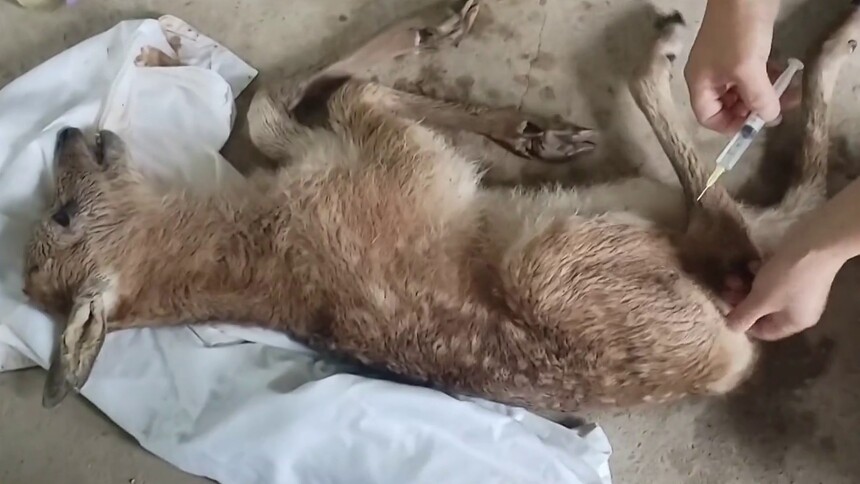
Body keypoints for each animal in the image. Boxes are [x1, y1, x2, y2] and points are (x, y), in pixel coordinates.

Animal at [20, 1, 860, 417]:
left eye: (56, 214)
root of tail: (726, 359)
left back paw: (813, 52)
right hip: (563, 261)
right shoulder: (403, 161)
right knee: (732, 219)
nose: (64, 132)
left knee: (786, 202)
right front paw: (512, 118)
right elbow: (351, 95)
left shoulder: (326, 150)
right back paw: (683, 55)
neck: (241, 231)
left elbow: (274, 104)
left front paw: (507, 106)